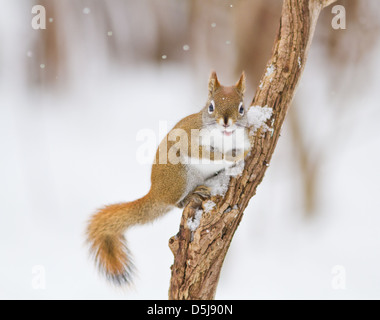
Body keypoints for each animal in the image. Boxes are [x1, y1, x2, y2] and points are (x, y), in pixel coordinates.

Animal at [87, 72, 252, 284]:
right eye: (211, 106)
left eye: (241, 108)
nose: (225, 121)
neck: (225, 136)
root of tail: (155, 193)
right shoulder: (189, 140)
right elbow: (208, 154)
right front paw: (232, 156)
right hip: (179, 176)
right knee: (177, 203)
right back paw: (193, 194)